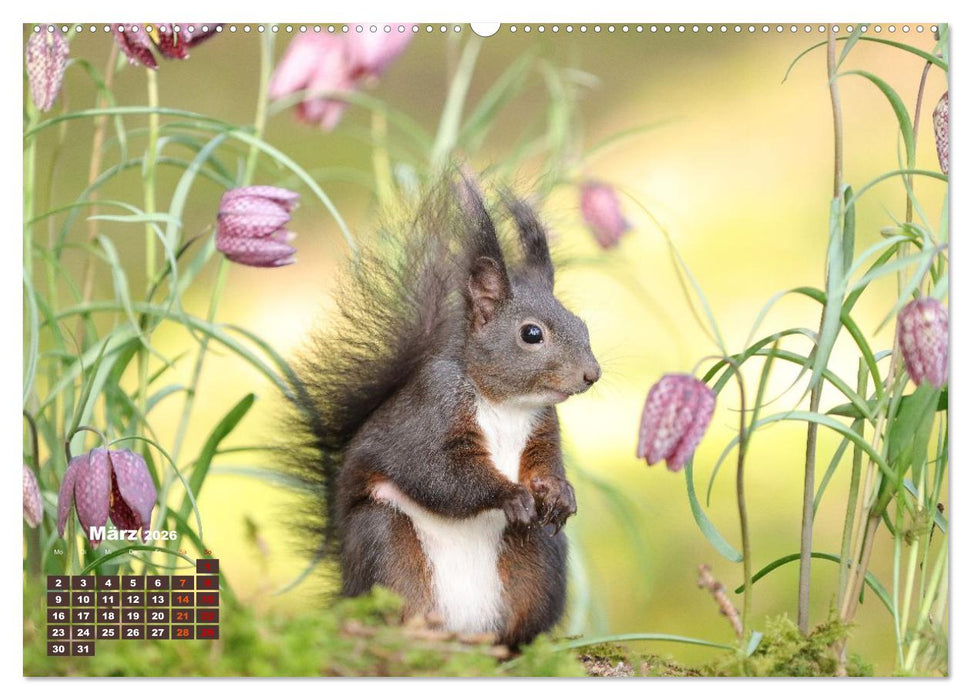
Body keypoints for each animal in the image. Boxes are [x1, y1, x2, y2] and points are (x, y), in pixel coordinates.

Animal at [286, 176, 601, 646]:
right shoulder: (432, 411)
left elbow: (545, 464)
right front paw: (510, 494)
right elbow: (438, 474)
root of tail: (464, 630)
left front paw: (559, 492)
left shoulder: (543, 426)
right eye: (531, 334)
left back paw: (509, 644)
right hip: (384, 545)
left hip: (541, 559)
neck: (505, 403)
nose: (591, 374)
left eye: (581, 325)